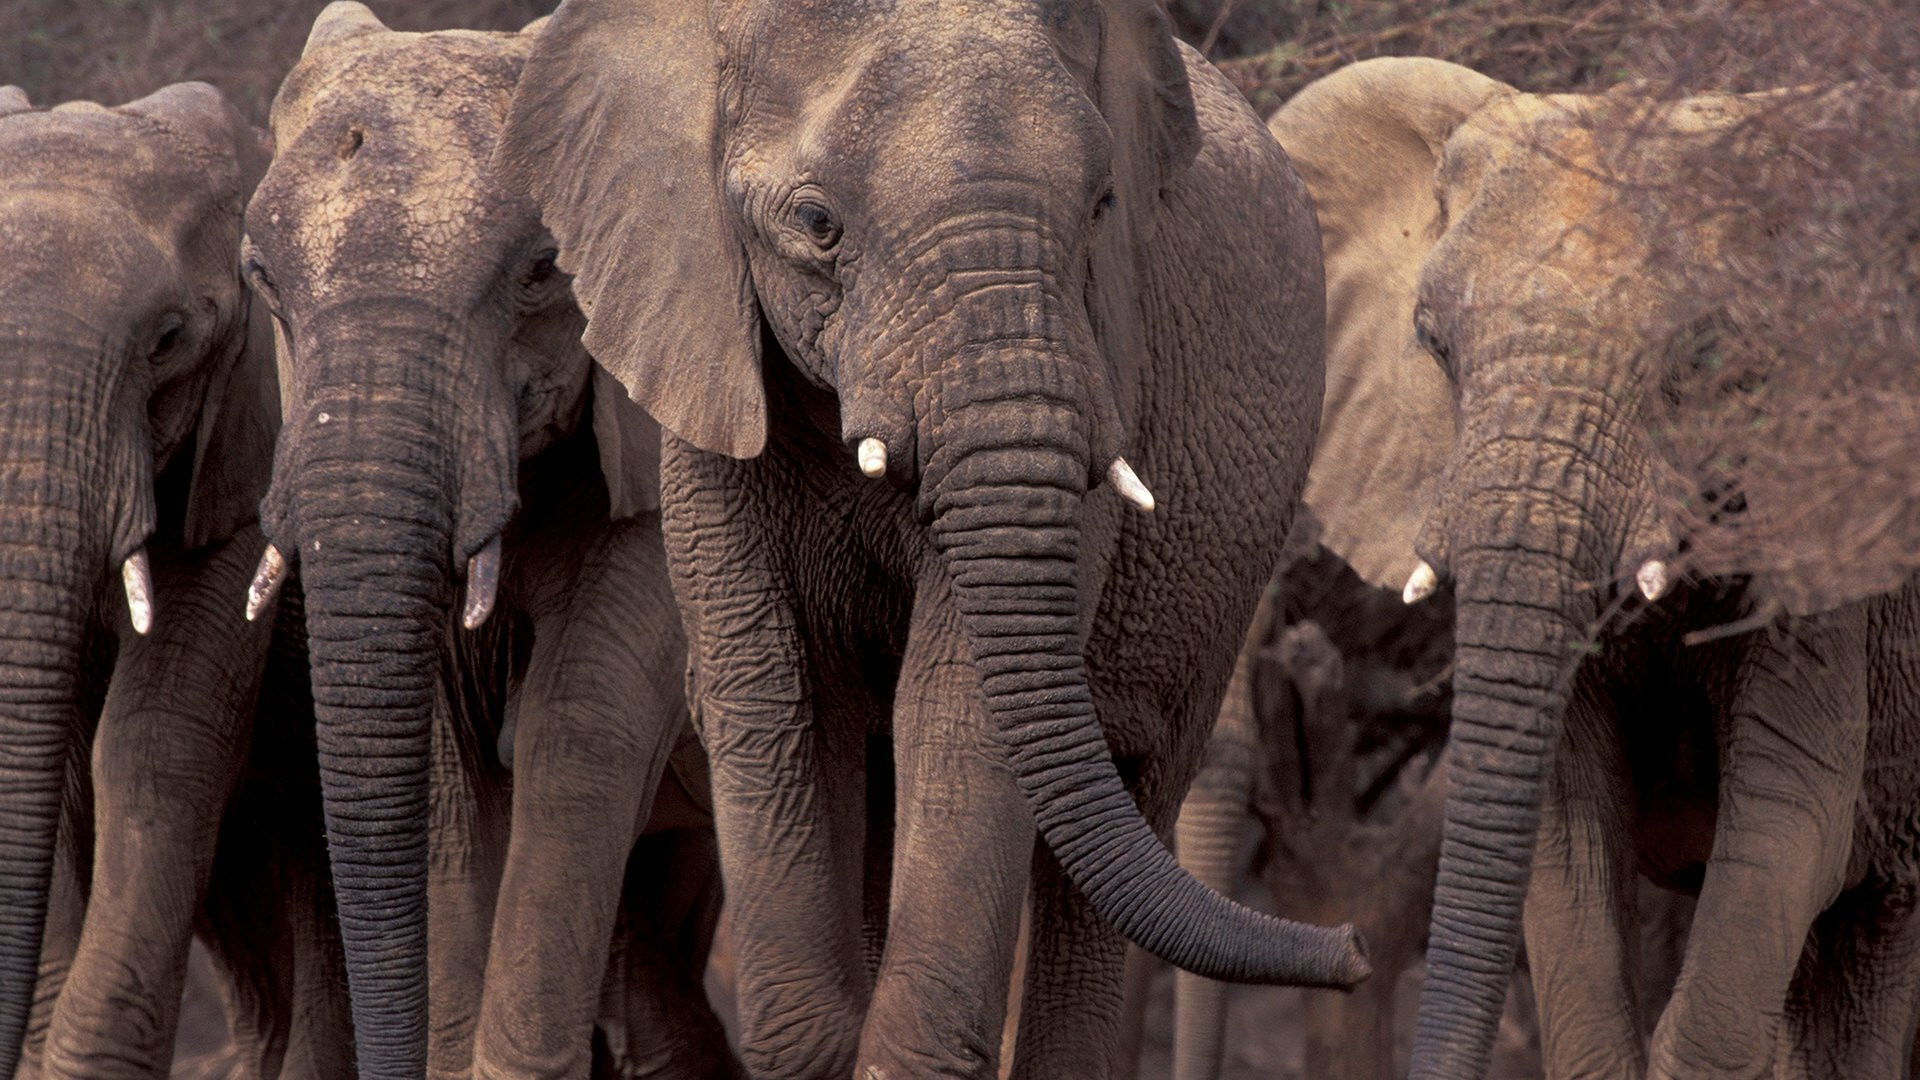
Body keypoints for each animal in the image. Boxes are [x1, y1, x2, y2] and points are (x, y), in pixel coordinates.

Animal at [491, 0, 1369, 1076]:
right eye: (816, 225)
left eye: (1101, 207)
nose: (1353, 950)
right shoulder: (705, 372)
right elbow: (775, 689)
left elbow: (957, 707)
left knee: (1128, 802)